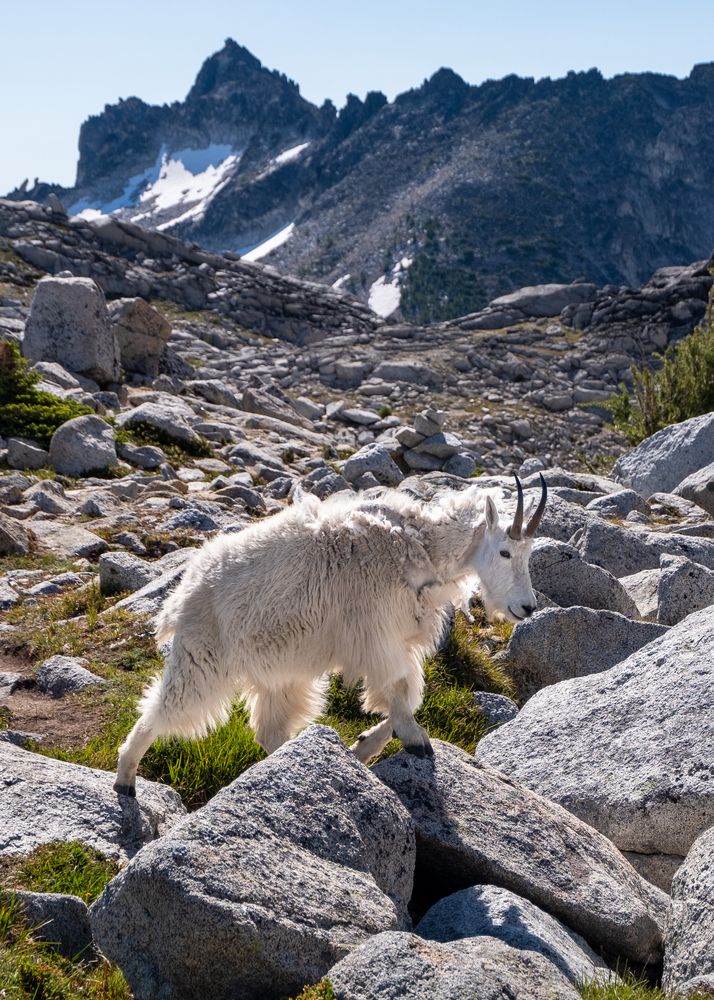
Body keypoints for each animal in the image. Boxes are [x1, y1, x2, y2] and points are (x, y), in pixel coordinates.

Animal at [114, 475, 547, 796]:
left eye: (528, 553)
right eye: (505, 551)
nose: (527, 608)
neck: (419, 547)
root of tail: (183, 592)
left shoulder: (397, 639)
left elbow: (407, 693)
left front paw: (366, 744)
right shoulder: (376, 632)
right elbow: (398, 687)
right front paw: (415, 741)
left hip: (281, 670)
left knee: (269, 729)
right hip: (203, 656)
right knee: (162, 709)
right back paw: (125, 779)